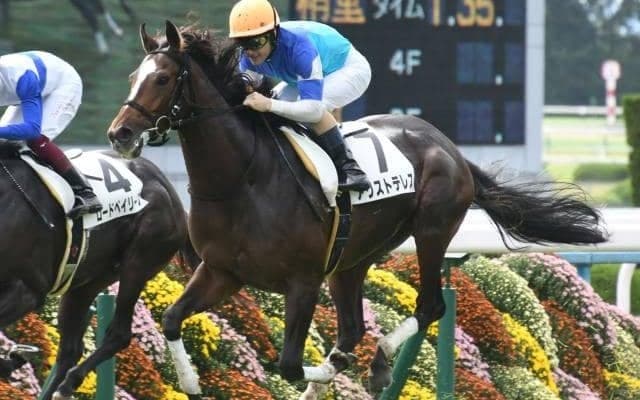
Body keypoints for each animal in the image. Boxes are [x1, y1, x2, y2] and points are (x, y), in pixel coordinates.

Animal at [0, 141, 195, 400]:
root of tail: (170, 190)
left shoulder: (27, 291)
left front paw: (14, 358)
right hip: (85, 281)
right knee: (71, 349)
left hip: (139, 261)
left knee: (119, 334)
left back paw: (68, 384)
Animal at [106, 21, 608, 399]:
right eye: (132, 77)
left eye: (163, 78)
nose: (119, 134)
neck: (244, 177)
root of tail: (451, 148)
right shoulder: (222, 271)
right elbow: (172, 320)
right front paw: (191, 382)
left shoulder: (303, 281)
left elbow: (290, 365)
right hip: (352, 257)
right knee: (352, 328)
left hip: (431, 231)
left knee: (428, 307)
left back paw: (381, 361)